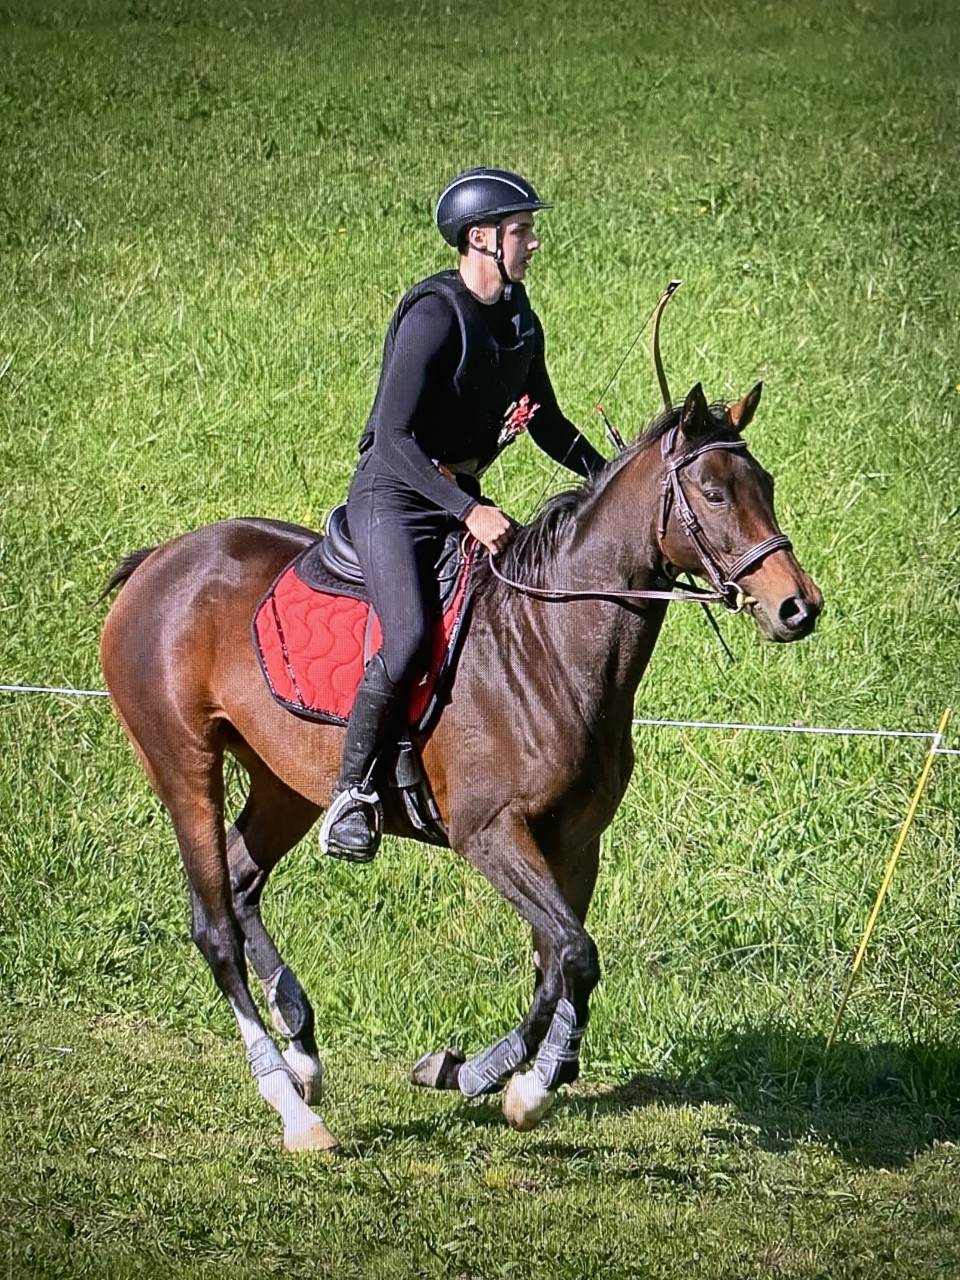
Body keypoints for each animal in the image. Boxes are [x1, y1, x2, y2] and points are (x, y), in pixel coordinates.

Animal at [100, 380, 822, 1153]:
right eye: (714, 493)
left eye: (766, 485)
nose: (798, 606)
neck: (549, 643)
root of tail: (160, 561)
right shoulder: (491, 834)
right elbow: (575, 954)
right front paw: (509, 1080)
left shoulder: (574, 843)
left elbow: (557, 962)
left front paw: (494, 1075)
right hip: (184, 765)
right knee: (214, 928)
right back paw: (292, 1106)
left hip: (284, 785)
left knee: (239, 885)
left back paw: (303, 1048)